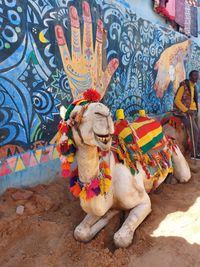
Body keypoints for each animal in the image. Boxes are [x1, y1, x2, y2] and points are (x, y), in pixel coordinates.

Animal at [57, 92, 191, 249]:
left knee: (183, 175)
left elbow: (121, 238)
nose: (104, 112)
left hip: (176, 154)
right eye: (73, 117)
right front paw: (109, 215)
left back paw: (172, 179)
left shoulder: (144, 202)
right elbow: (79, 232)